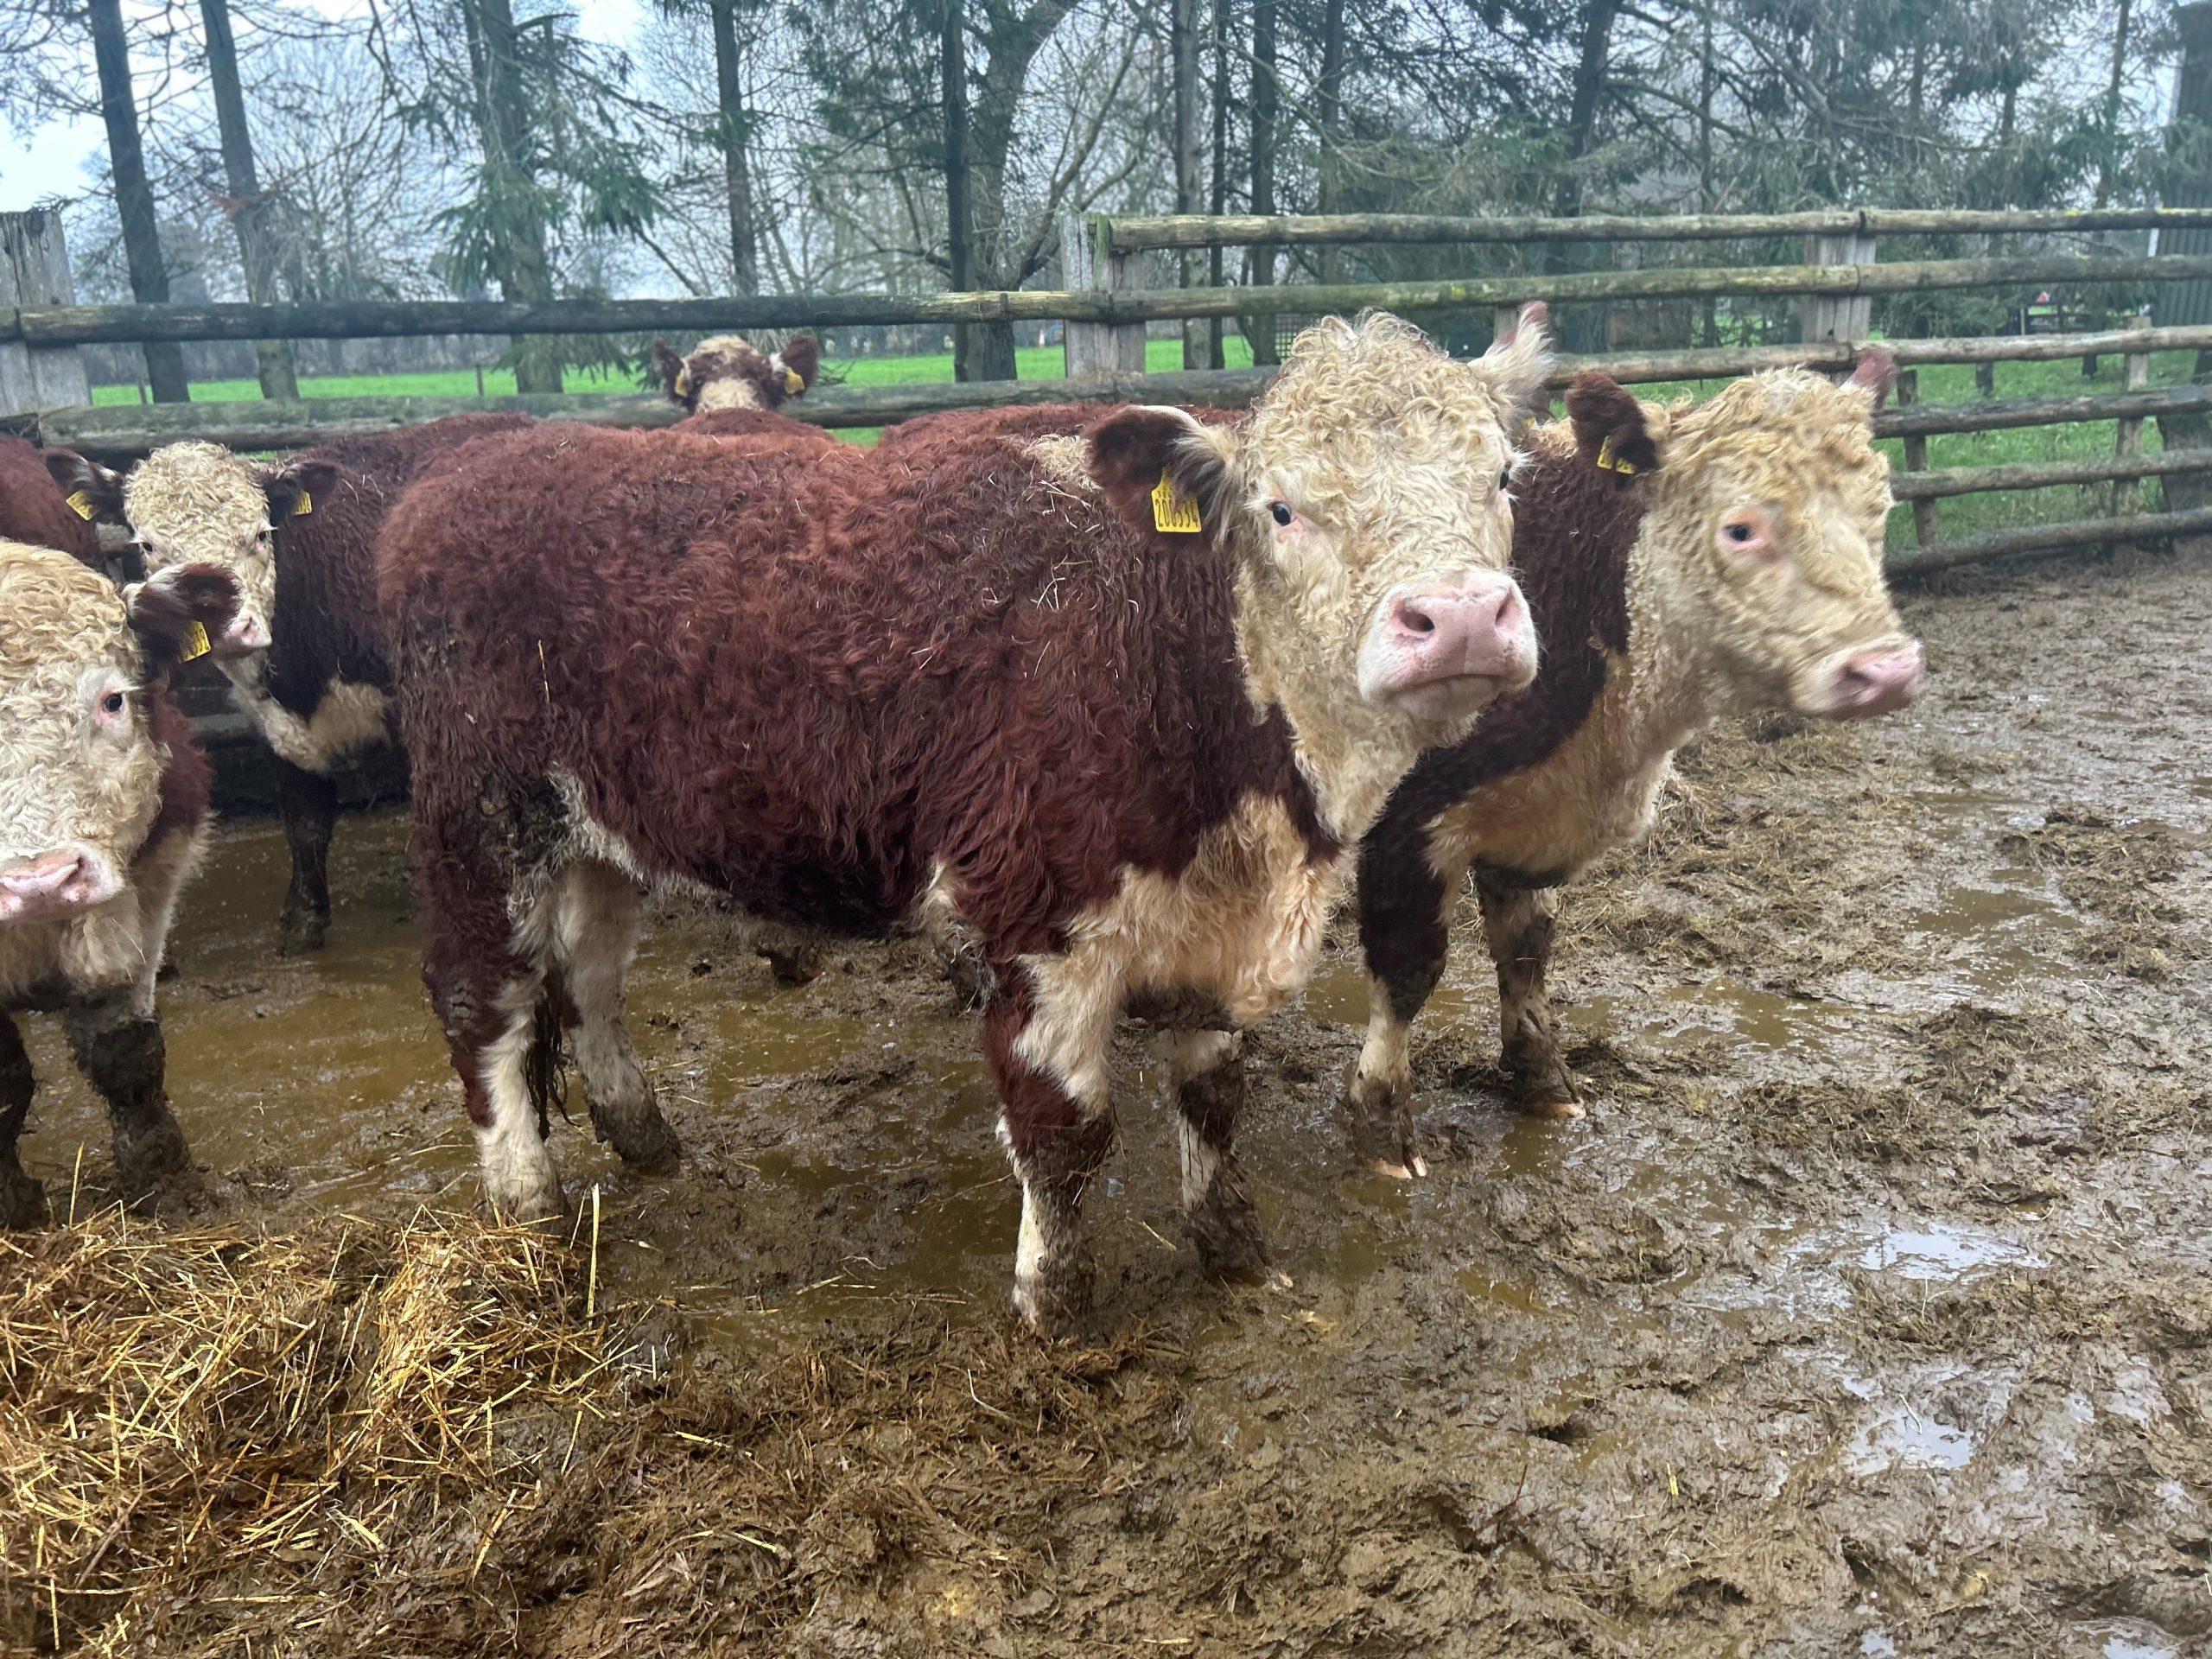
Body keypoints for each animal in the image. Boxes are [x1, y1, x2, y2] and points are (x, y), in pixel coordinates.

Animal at [0, 542, 239, 1224]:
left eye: (113, 701)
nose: (41, 882)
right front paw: (16, 1209)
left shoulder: (148, 898)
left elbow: (128, 1057)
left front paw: (167, 1188)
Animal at [46, 415, 537, 953]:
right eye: (148, 546)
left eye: (261, 534)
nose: (228, 626)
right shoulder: (275, 727)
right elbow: (305, 824)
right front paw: (303, 919)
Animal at [1346, 355, 1925, 1178]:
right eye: (1740, 528)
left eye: (1880, 507)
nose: (1886, 672)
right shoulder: (1403, 823)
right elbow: (1410, 969)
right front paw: (1383, 1124)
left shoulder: (1526, 816)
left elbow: (1528, 949)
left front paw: (1544, 1079)